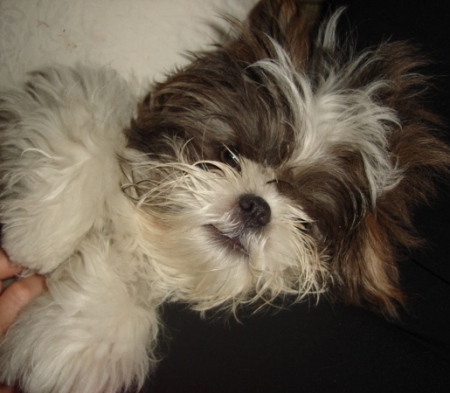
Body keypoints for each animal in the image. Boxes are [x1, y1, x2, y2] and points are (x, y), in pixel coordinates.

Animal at [0, 0, 450, 392]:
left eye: (305, 216)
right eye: (230, 155)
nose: (257, 208)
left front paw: (87, 335)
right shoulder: (70, 101)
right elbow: (85, 125)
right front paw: (39, 236)